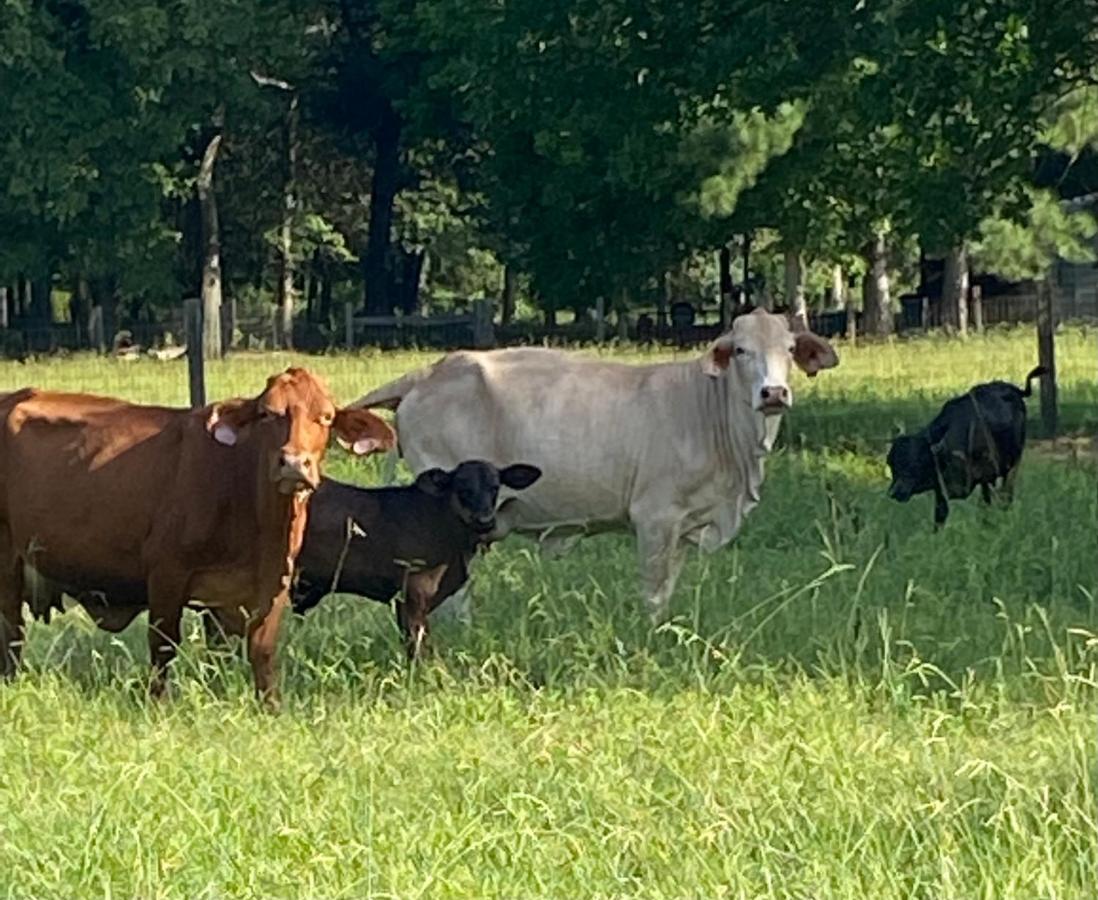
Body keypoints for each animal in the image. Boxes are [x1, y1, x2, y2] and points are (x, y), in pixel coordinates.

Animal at [0, 368, 393, 706]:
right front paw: (157, 704)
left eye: (325, 417)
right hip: (8, 564)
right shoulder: (167, 573)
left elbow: (258, 651)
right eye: (267, 414)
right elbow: (163, 645)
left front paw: (269, 707)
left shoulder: (271, 584)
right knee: (11, 633)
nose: (294, 464)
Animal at [355, 307, 834, 619]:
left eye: (790, 349)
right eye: (740, 350)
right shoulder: (655, 518)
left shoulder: (681, 529)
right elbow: (653, 595)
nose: (773, 393)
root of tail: (429, 372)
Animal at [882, 366, 1045, 526]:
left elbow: (985, 503)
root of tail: (1011, 388)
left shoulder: (985, 476)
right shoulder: (941, 490)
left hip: (1014, 462)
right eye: (891, 464)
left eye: (915, 463)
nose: (894, 492)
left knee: (1006, 493)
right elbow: (940, 516)